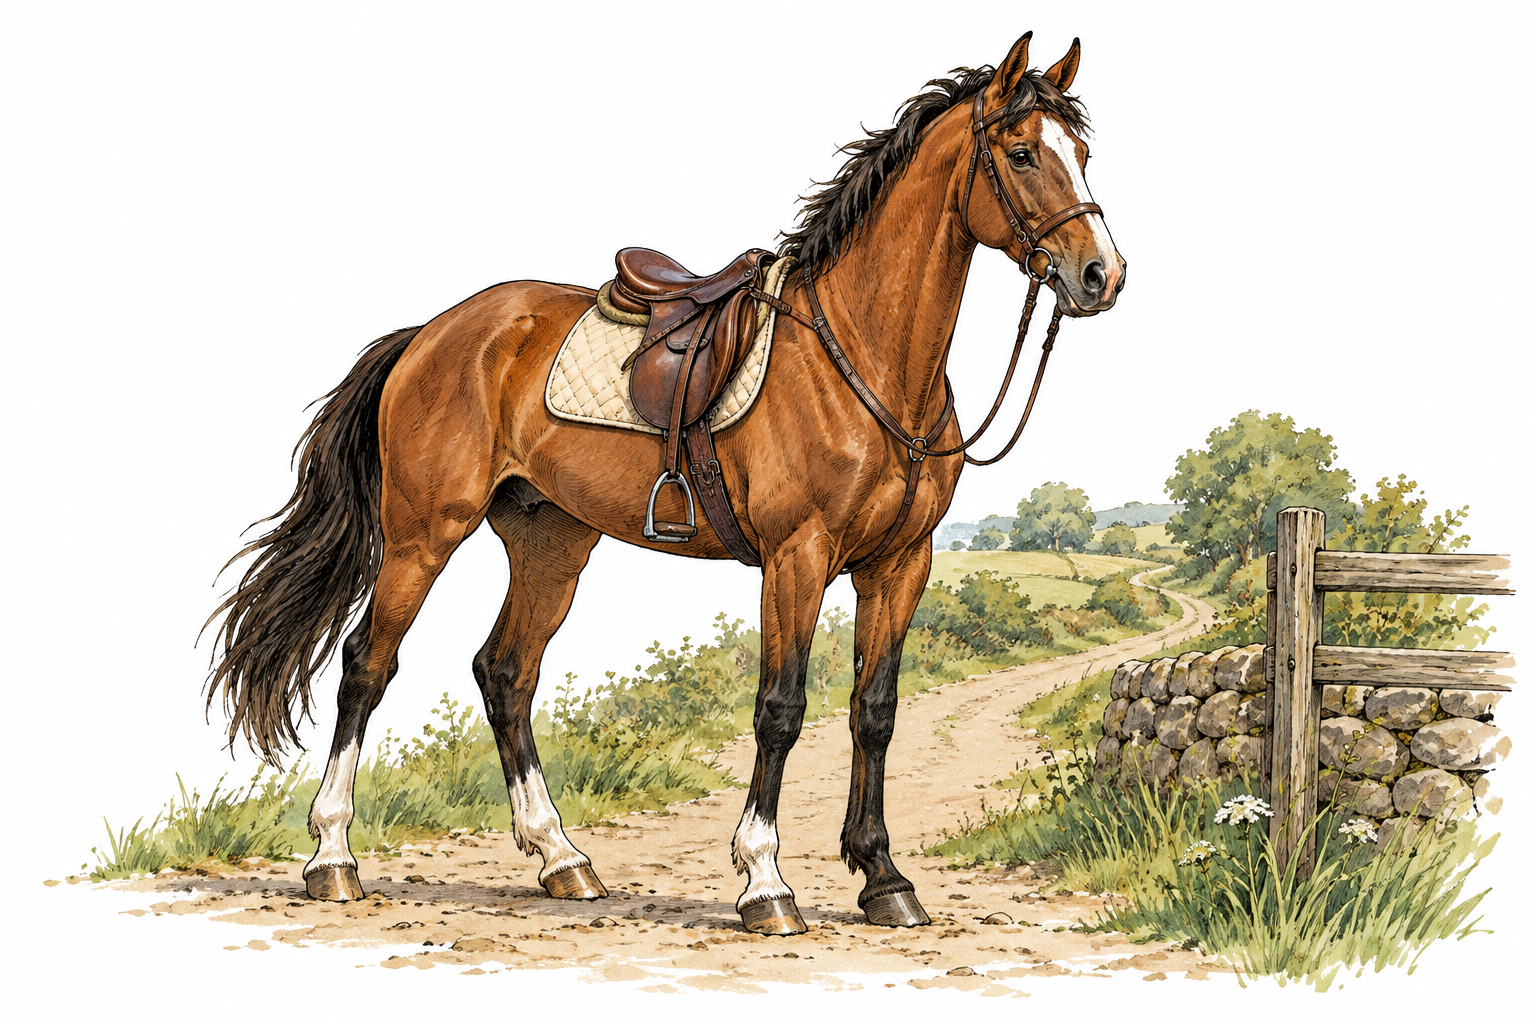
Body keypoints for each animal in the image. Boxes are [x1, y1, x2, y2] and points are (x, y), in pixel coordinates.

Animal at [206, 30, 1126, 936]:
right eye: (1021, 153)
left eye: (1083, 152)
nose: (1101, 276)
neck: (860, 356)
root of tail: (434, 332)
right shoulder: (797, 558)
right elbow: (782, 708)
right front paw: (765, 883)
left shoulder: (901, 563)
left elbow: (876, 710)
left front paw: (883, 878)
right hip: (422, 534)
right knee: (368, 663)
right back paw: (333, 859)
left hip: (550, 542)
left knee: (506, 673)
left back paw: (562, 859)